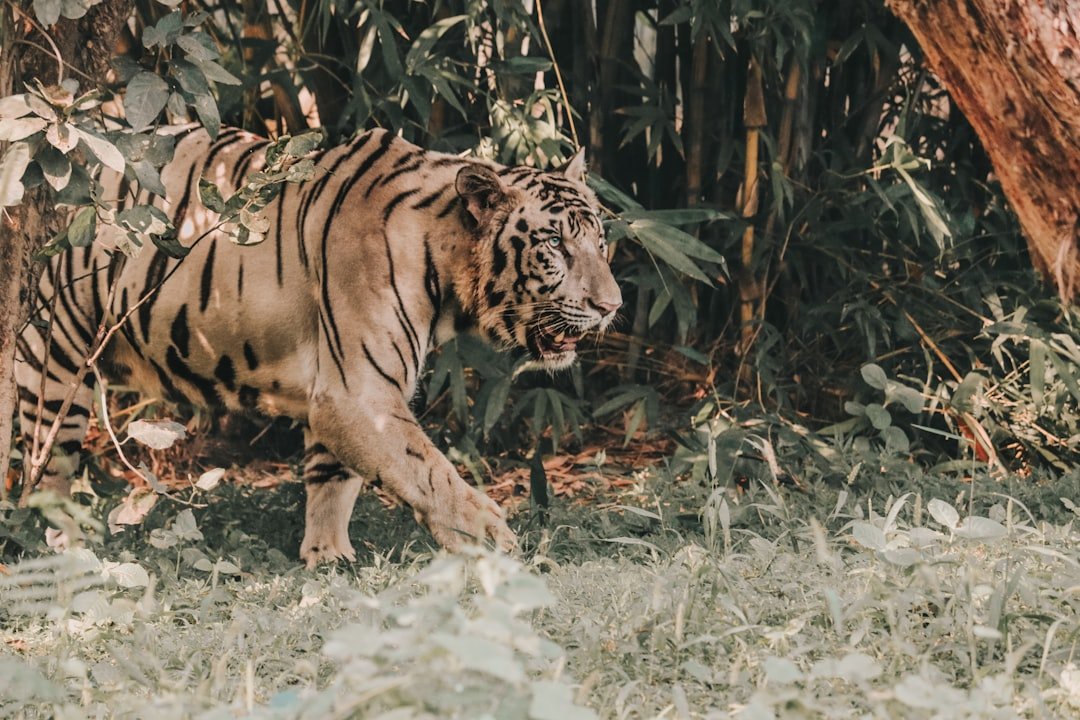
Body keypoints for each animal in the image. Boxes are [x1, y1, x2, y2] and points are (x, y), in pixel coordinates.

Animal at [14, 126, 622, 566]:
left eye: (600, 241)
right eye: (554, 245)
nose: (611, 306)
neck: (446, 266)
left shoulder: (341, 386)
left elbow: (334, 479)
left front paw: (327, 556)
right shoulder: (359, 393)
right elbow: (430, 472)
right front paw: (493, 539)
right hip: (53, 360)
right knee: (46, 471)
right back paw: (61, 549)